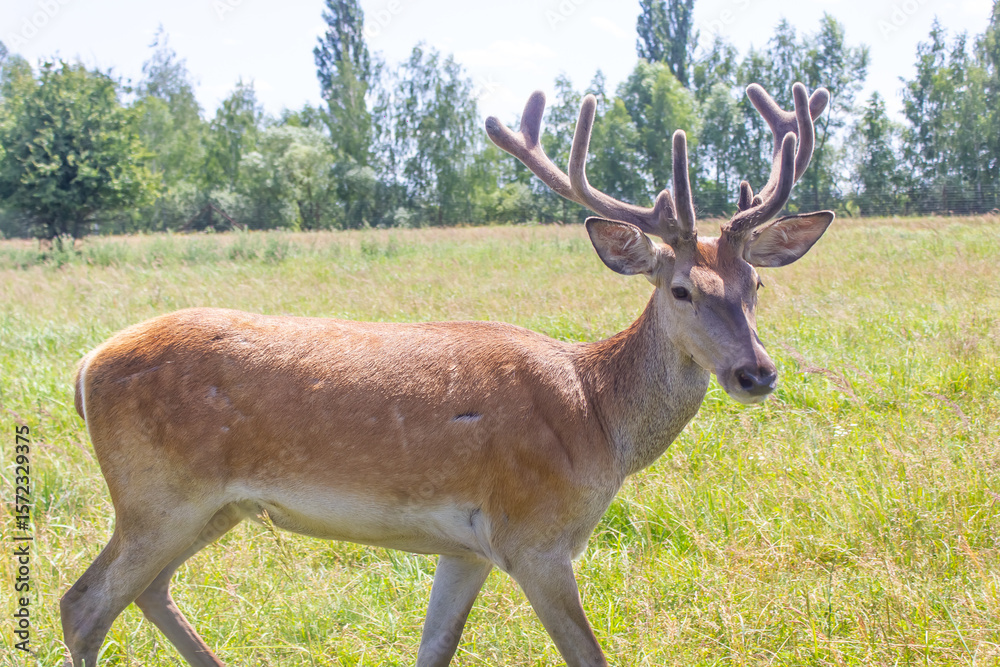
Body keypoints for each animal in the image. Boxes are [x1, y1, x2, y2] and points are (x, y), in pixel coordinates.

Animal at [61, 81, 833, 667]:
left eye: (756, 283)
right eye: (681, 290)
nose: (756, 372)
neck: (596, 420)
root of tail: (85, 366)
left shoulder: (467, 547)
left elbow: (434, 648)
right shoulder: (534, 535)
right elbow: (587, 655)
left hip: (209, 506)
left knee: (145, 591)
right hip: (158, 494)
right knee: (84, 603)